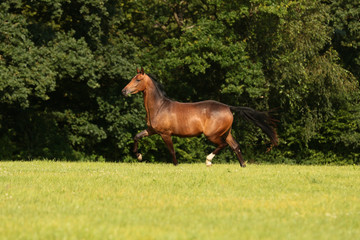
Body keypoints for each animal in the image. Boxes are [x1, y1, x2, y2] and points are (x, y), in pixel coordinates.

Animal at [121, 67, 278, 167]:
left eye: (137, 80)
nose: (124, 91)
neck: (159, 107)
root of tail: (228, 107)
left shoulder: (165, 134)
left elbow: (171, 150)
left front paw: (176, 166)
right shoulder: (152, 131)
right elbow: (136, 136)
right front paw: (139, 156)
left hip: (212, 134)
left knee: (223, 145)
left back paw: (208, 161)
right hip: (226, 132)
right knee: (235, 146)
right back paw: (243, 165)